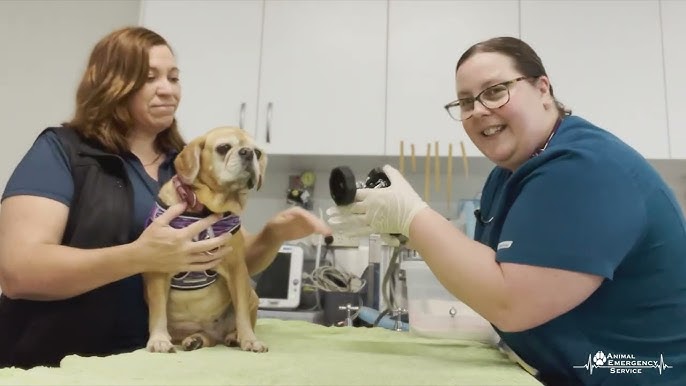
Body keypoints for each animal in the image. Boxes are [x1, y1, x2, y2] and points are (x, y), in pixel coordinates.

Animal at [142, 126, 268, 352]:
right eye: (223, 147)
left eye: (258, 152)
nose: (247, 153)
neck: (203, 209)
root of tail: (213, 332)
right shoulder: (158, 271)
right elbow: (157, 313)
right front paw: (159, 340)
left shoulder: (237, 269)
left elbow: (242, 314)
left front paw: (249, 339)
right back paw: (194, 339)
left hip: (252, 296)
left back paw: (231, 337)